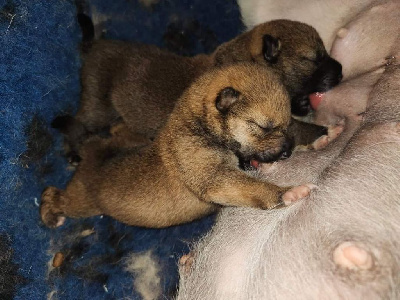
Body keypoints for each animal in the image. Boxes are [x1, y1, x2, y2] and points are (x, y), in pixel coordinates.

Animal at [41, 63, 310, 227]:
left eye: (288, 123)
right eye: (263, 127)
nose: (288, 150)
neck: (200, 125)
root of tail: (90, 150)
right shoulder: (214, 179)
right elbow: (252, 187)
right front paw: (287, 193)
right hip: (81, 202)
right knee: (54, 196)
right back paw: (51, 215)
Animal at [52, 18, 340, 162]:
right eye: (314, 59)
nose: (340, 71)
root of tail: (93, 47)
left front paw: (302, 105)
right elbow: (296, 127)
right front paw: (325, 133)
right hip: (98, 103)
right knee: (80, 121)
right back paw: (72, 153)